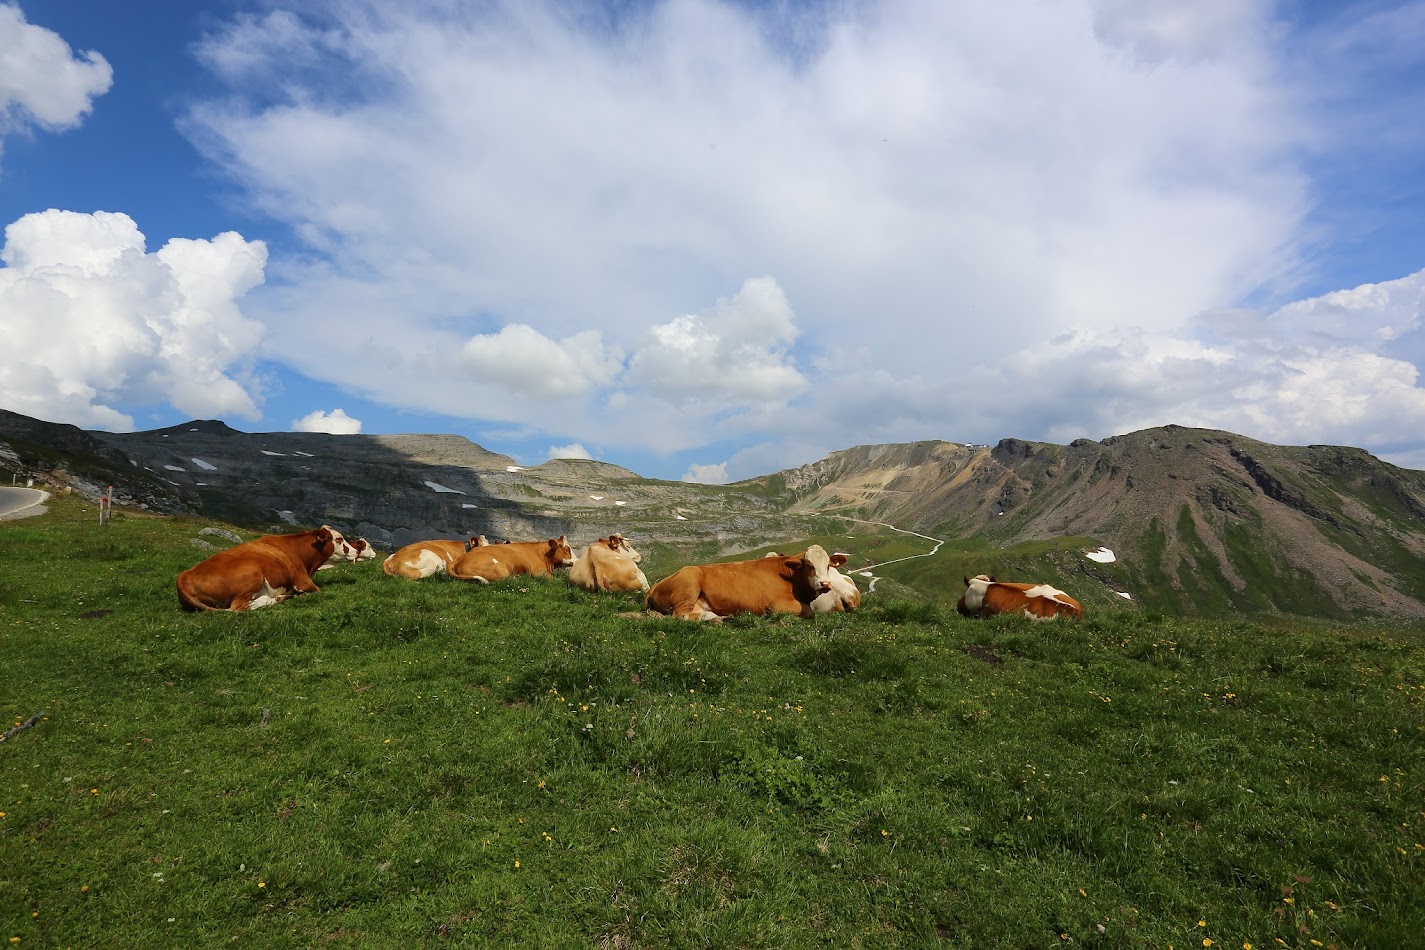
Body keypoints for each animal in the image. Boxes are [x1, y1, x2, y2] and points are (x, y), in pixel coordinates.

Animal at [173, 524, 334, 612]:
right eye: (338, 539)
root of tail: (185, 574)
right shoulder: (304, 581)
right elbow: (317, 590)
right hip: (252, 576)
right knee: (242, 607)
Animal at [447, 538, 575, 583]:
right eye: (567, 549)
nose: (577, 560)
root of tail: (456, 560)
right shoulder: (540, 573)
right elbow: (558, 581)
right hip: (499, 569)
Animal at [652, 546, 849, 620]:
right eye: (809, 565)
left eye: (828, 565)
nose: (825, 584)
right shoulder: (778, 605)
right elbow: (808, 611)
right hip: (689, 584)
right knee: (680, 615)